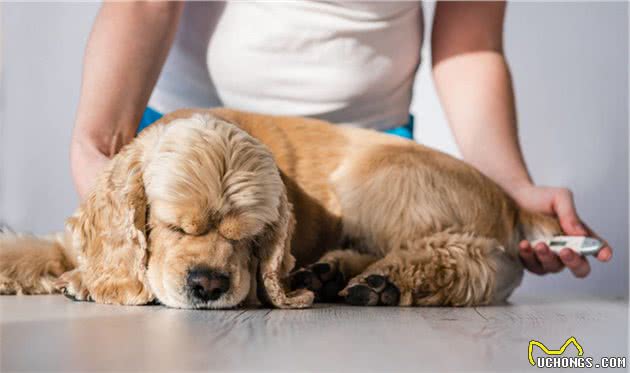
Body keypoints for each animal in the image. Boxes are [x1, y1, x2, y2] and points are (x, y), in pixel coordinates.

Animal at [0, 108, 564, 308]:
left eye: (250, 237)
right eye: (172, 226)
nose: (209, 285)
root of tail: (509, 197)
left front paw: (81, 282)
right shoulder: (75, 234)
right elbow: (34, 249)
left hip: (375, 183)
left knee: (473, 259)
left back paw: (386, 281)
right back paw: (331, 275)